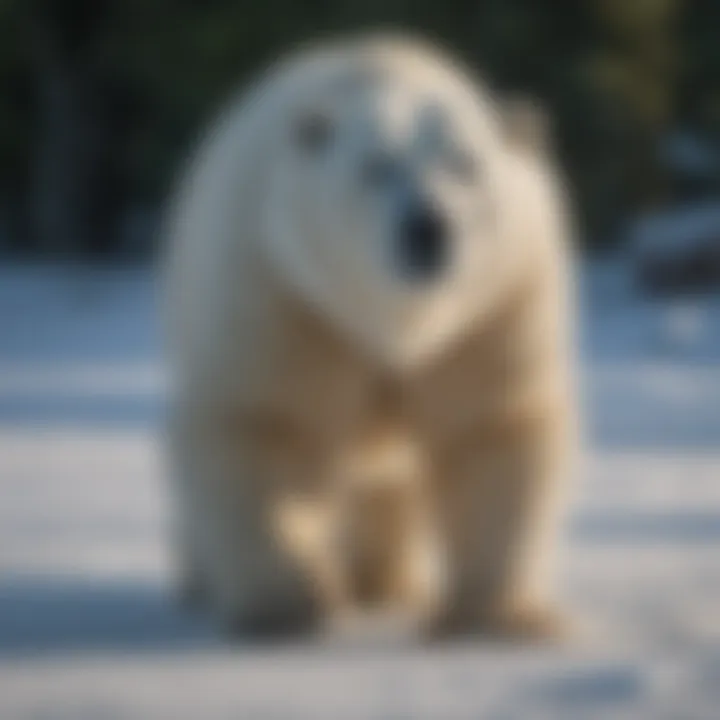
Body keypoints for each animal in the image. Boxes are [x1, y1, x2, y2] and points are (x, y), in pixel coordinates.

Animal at [163, 35, 580, 640]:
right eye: (376, 167)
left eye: (466, 164)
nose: (428, 227)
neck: (395, 322)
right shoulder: (286, 298)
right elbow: (267, 425)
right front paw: (287, 609)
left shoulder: (492, 312)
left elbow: (489, 430)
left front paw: (496, 619)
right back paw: (200, 580)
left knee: (388, 485)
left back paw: (382, 583)